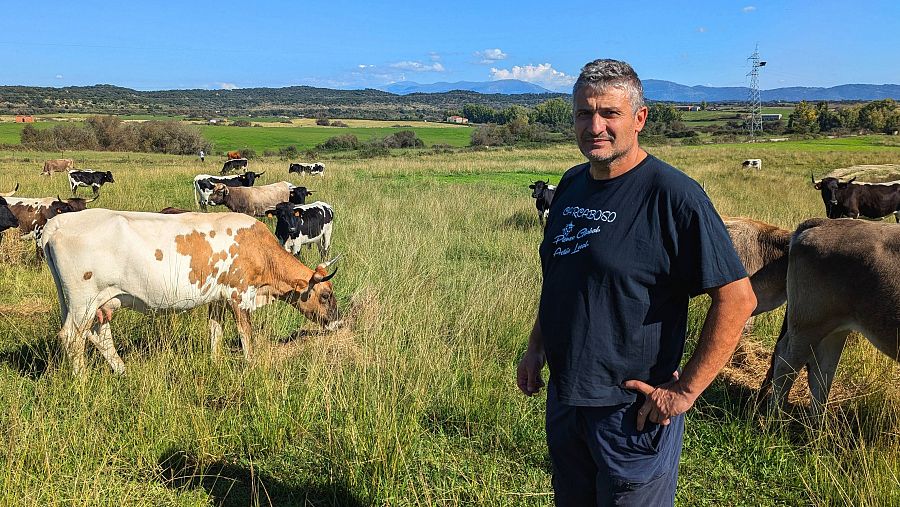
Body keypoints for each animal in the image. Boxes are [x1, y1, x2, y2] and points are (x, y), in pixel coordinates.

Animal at [39, 208, 342, 376]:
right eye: (325, 295)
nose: (339, 323)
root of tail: (60, 222)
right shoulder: (239, 293)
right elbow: (245, 333)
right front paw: (250, 364)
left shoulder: (218, 297)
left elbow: (215, 330)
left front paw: (216, 362)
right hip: (84, 300)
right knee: (72, 337)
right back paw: (82, 381)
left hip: (95, 301)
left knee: (98, 334)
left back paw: (123, 371)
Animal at [760, 219, 900, 416]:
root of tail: (825, 222)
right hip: (810, 323)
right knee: (787, 363)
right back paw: (777, 415)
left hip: (834, 328)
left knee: (823, 371)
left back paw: (818, 422)